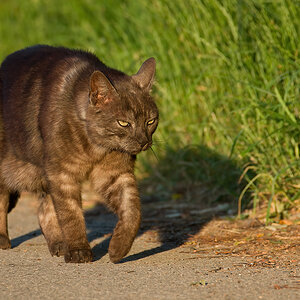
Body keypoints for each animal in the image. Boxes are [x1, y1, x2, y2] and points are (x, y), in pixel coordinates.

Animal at [0, 44, 159, 262]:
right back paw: (2, 239)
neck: (96, 147)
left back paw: (58, 245)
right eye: (124, 123)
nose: (144, 142)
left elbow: (133, 210)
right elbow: (71, 215)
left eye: (150, 121)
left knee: (44, 210)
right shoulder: (62, 173)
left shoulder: (115, 174)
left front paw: (118, 248)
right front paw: (78, 251)